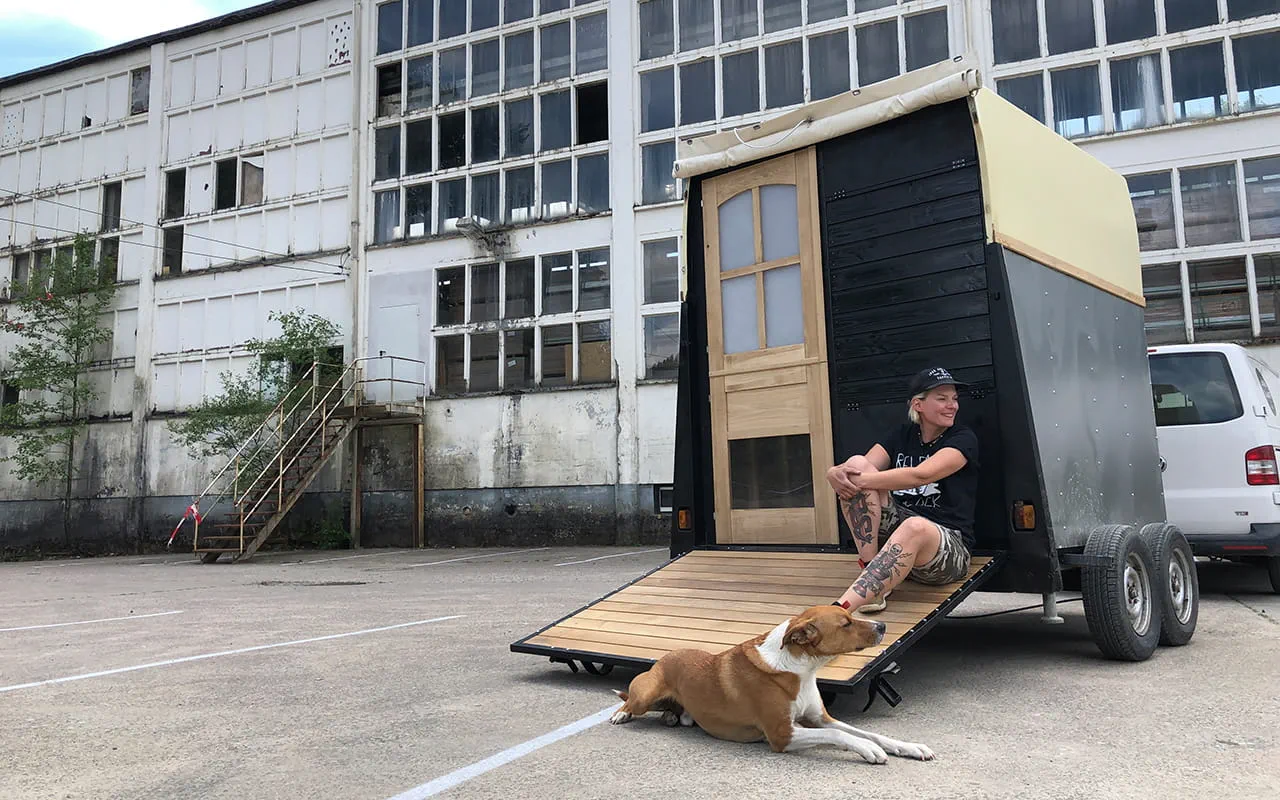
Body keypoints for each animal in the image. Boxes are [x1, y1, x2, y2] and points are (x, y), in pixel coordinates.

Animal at [604, 601, 936, 762]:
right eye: (846, 624)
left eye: (852, 615)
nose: (883, 625)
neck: (799, 668)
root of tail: (664, 657)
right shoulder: (782, 735)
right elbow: (841, 736)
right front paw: (867, 750)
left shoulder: (821, 718)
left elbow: (867, 733)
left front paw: (908, 747)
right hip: (645, 694)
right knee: (629, 701)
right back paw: (621, 714)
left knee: (670, 713)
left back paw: (673, 717)